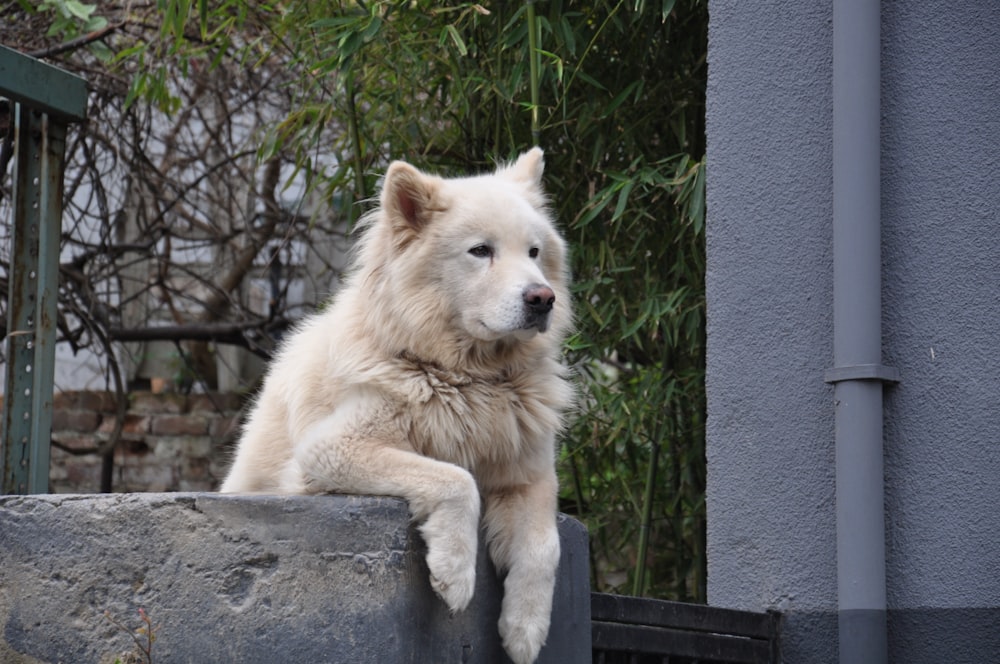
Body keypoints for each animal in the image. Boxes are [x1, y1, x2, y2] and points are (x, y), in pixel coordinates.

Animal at [222, 150, 576, 664]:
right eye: (480, 251)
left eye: (533, 252)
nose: (542, 298)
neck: (466, 377)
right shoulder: (331, 449)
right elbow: (457, 479)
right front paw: (454, 573)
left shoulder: (529, 475)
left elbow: (545, 546)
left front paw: (525, 629)